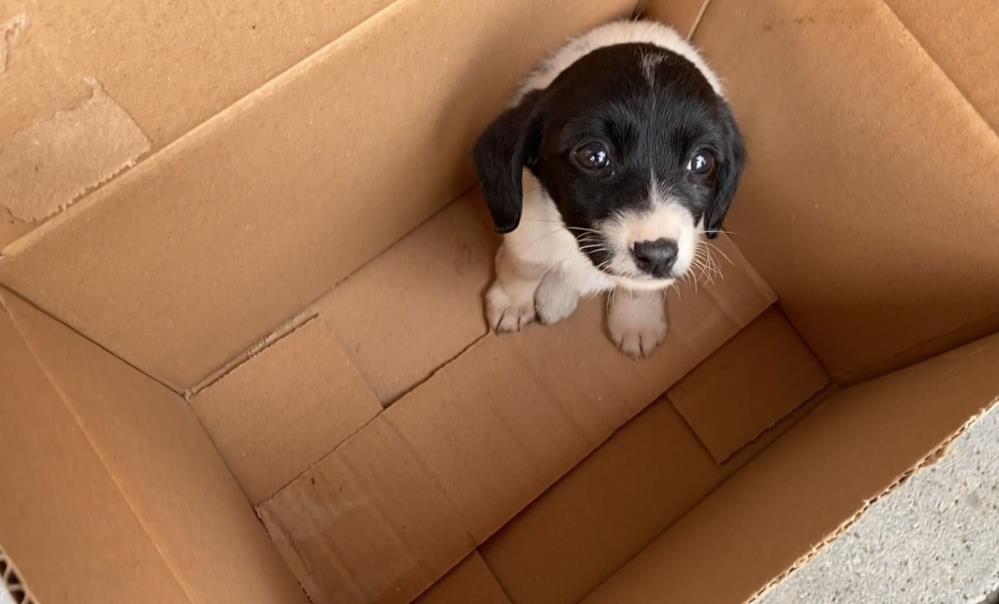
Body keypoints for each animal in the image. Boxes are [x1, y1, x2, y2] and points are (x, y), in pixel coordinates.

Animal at [472, 20, 748, 358]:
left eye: (701, 161)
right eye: (594, 155)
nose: (657, 255)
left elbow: (636, 287)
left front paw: (637, 320)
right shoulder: (524, 233)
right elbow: (524, 268)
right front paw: (512, 302)